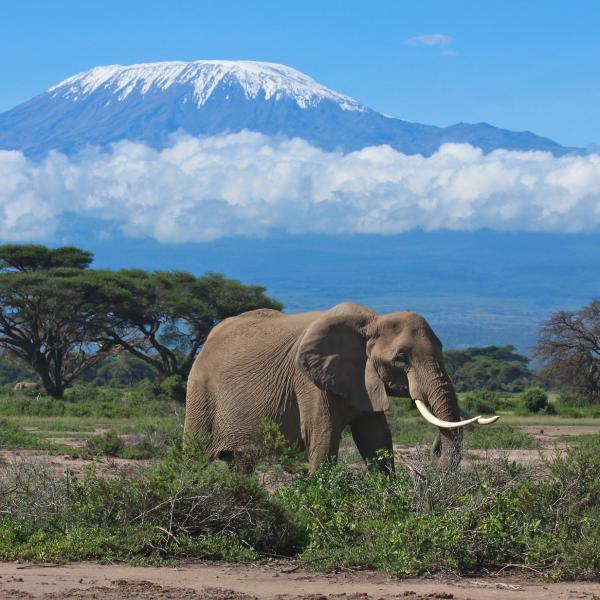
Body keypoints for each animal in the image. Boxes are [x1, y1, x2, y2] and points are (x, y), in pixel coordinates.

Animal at [185, 302, 500, 472]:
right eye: (401, 358)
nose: (434, 449)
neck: (372, 320)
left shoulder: (364, 379)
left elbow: (377, 440)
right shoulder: (308, 381)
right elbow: (323, 438)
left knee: (241, 464)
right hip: (200, 391)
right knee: (194, 454)